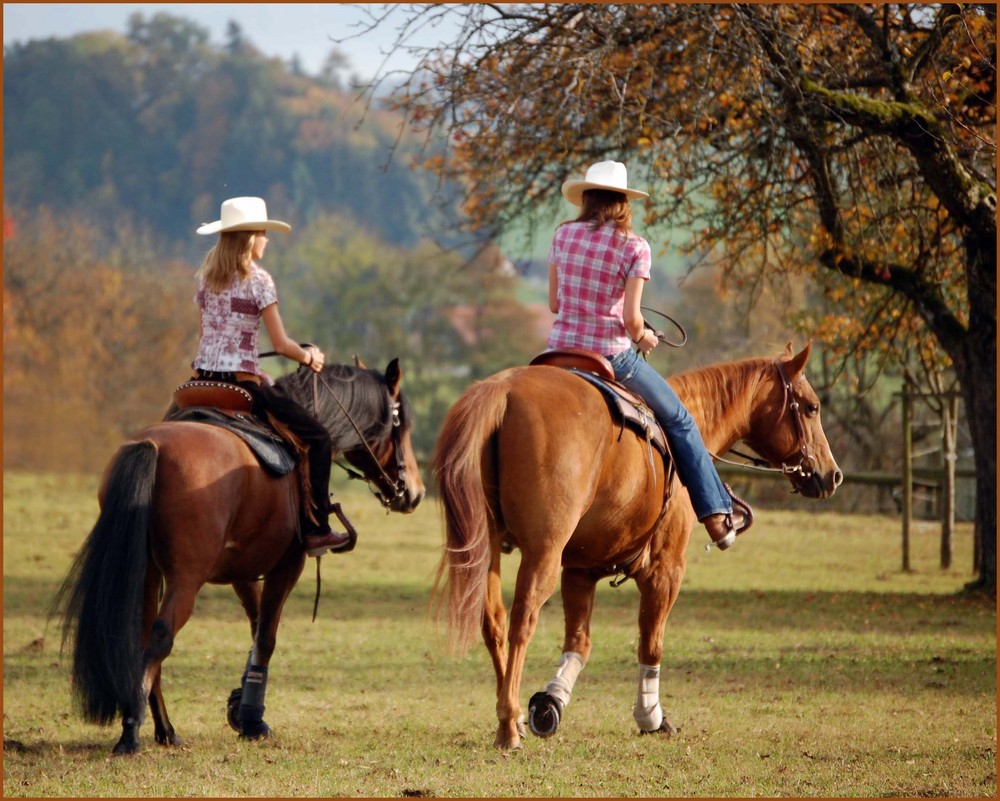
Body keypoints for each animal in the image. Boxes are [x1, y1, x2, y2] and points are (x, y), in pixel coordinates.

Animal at [57, 360, 426, 752]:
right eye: (400, 426)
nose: (415, 492)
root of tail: (151, 446)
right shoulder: (287, 565)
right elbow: (266, 637)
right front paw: (251, 719)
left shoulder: (244, 571)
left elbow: (254, 627)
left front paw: (240, 706)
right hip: (185, 578)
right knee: (160, 636)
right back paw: (131, 728)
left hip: (146, 573)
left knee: (142, 638)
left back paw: (165, 728)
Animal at [434, 344, 840, 752]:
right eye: (812, 407)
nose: (832, 475)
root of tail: (504, 391)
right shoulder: (665, 570)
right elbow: (651, 643)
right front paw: (651, 717)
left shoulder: (579, 571)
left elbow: (579, 643)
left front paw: (550, 703)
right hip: (543, 551)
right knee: (523, 620)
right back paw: (508, 726)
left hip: (487, 546)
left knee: (494, 621)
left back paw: (515, 719)